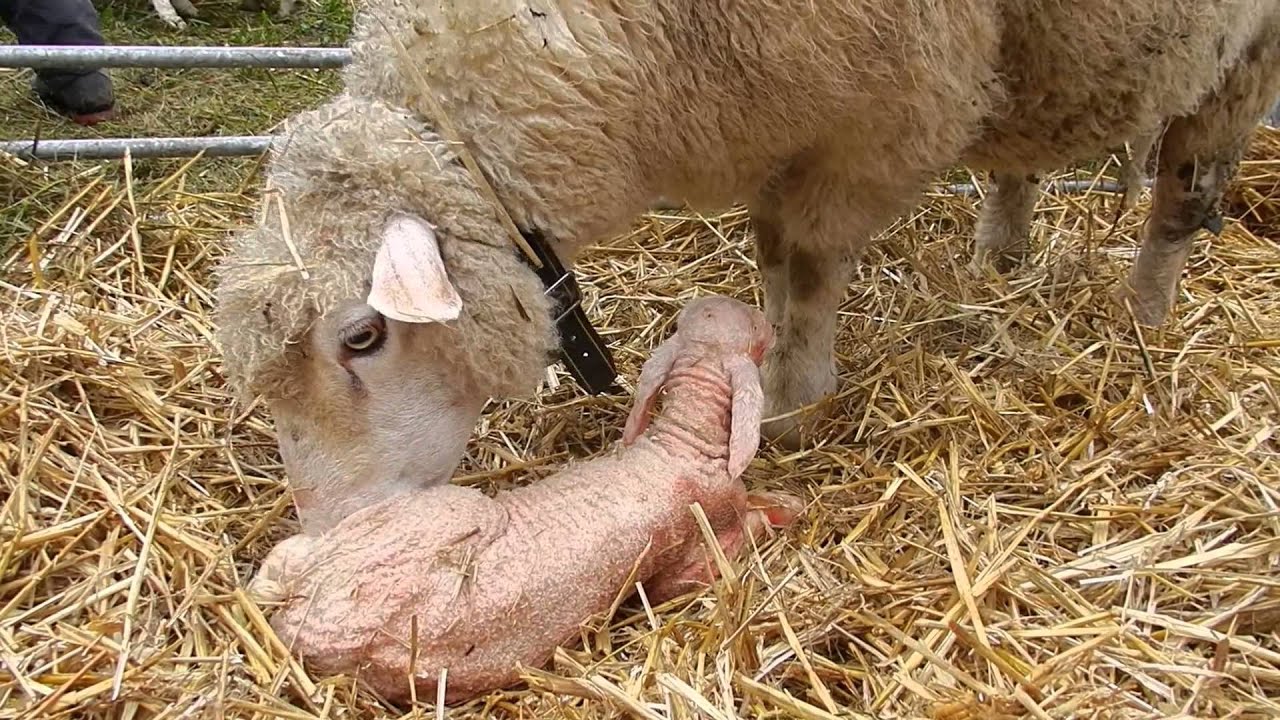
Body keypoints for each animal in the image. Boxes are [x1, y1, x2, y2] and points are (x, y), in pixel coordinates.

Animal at [214, 0, 1280, 531]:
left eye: (362, 336)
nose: (334, 529)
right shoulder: (779, 118)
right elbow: (771, 259)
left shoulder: (869, 124)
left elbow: (805, 265)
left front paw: (797, 401)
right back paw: (999, 256)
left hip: (1241, 53)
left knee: (1184, 193)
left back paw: (1145, 314)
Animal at [247, 295, 802, 703]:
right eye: (757, 328)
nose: (747, 310)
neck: (680, 440)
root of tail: (308, 617)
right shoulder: (696, 555)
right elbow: (725, 547)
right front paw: (784, 508)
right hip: (451, 512)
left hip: (322, 547)